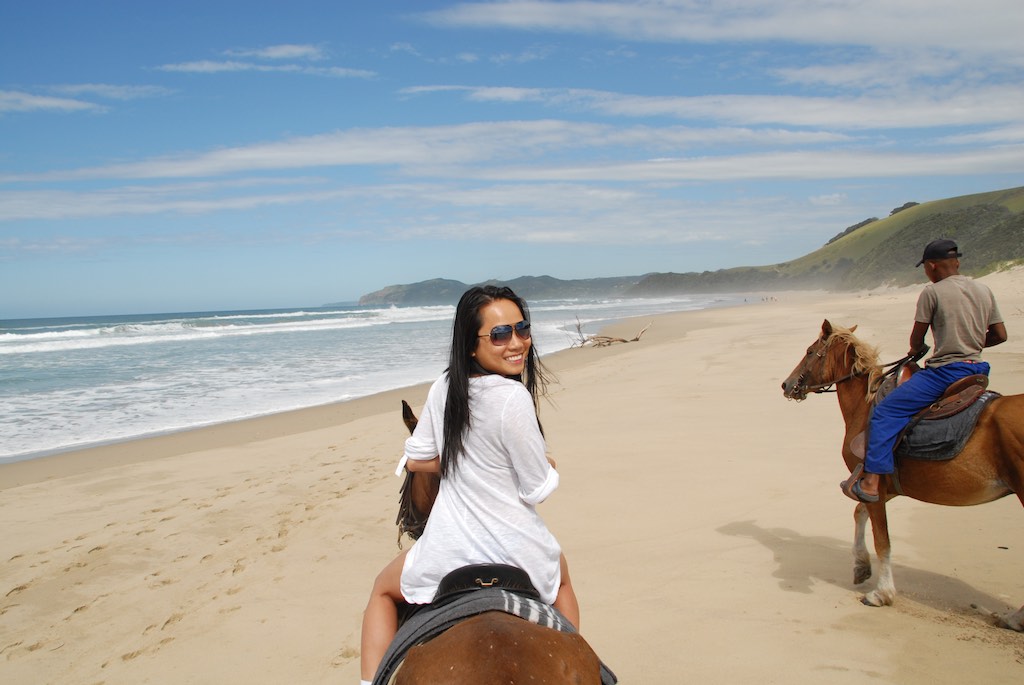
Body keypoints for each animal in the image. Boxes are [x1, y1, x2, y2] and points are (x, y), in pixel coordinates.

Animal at [782, 319, 1024, 630]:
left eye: (810, 352)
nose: (787, 384)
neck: (865, 404)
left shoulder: (872, 481)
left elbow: (882, 540)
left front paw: (881, 593)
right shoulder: (882, 486)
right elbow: (859, 513)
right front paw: (861, 567)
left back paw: (1015, 617)